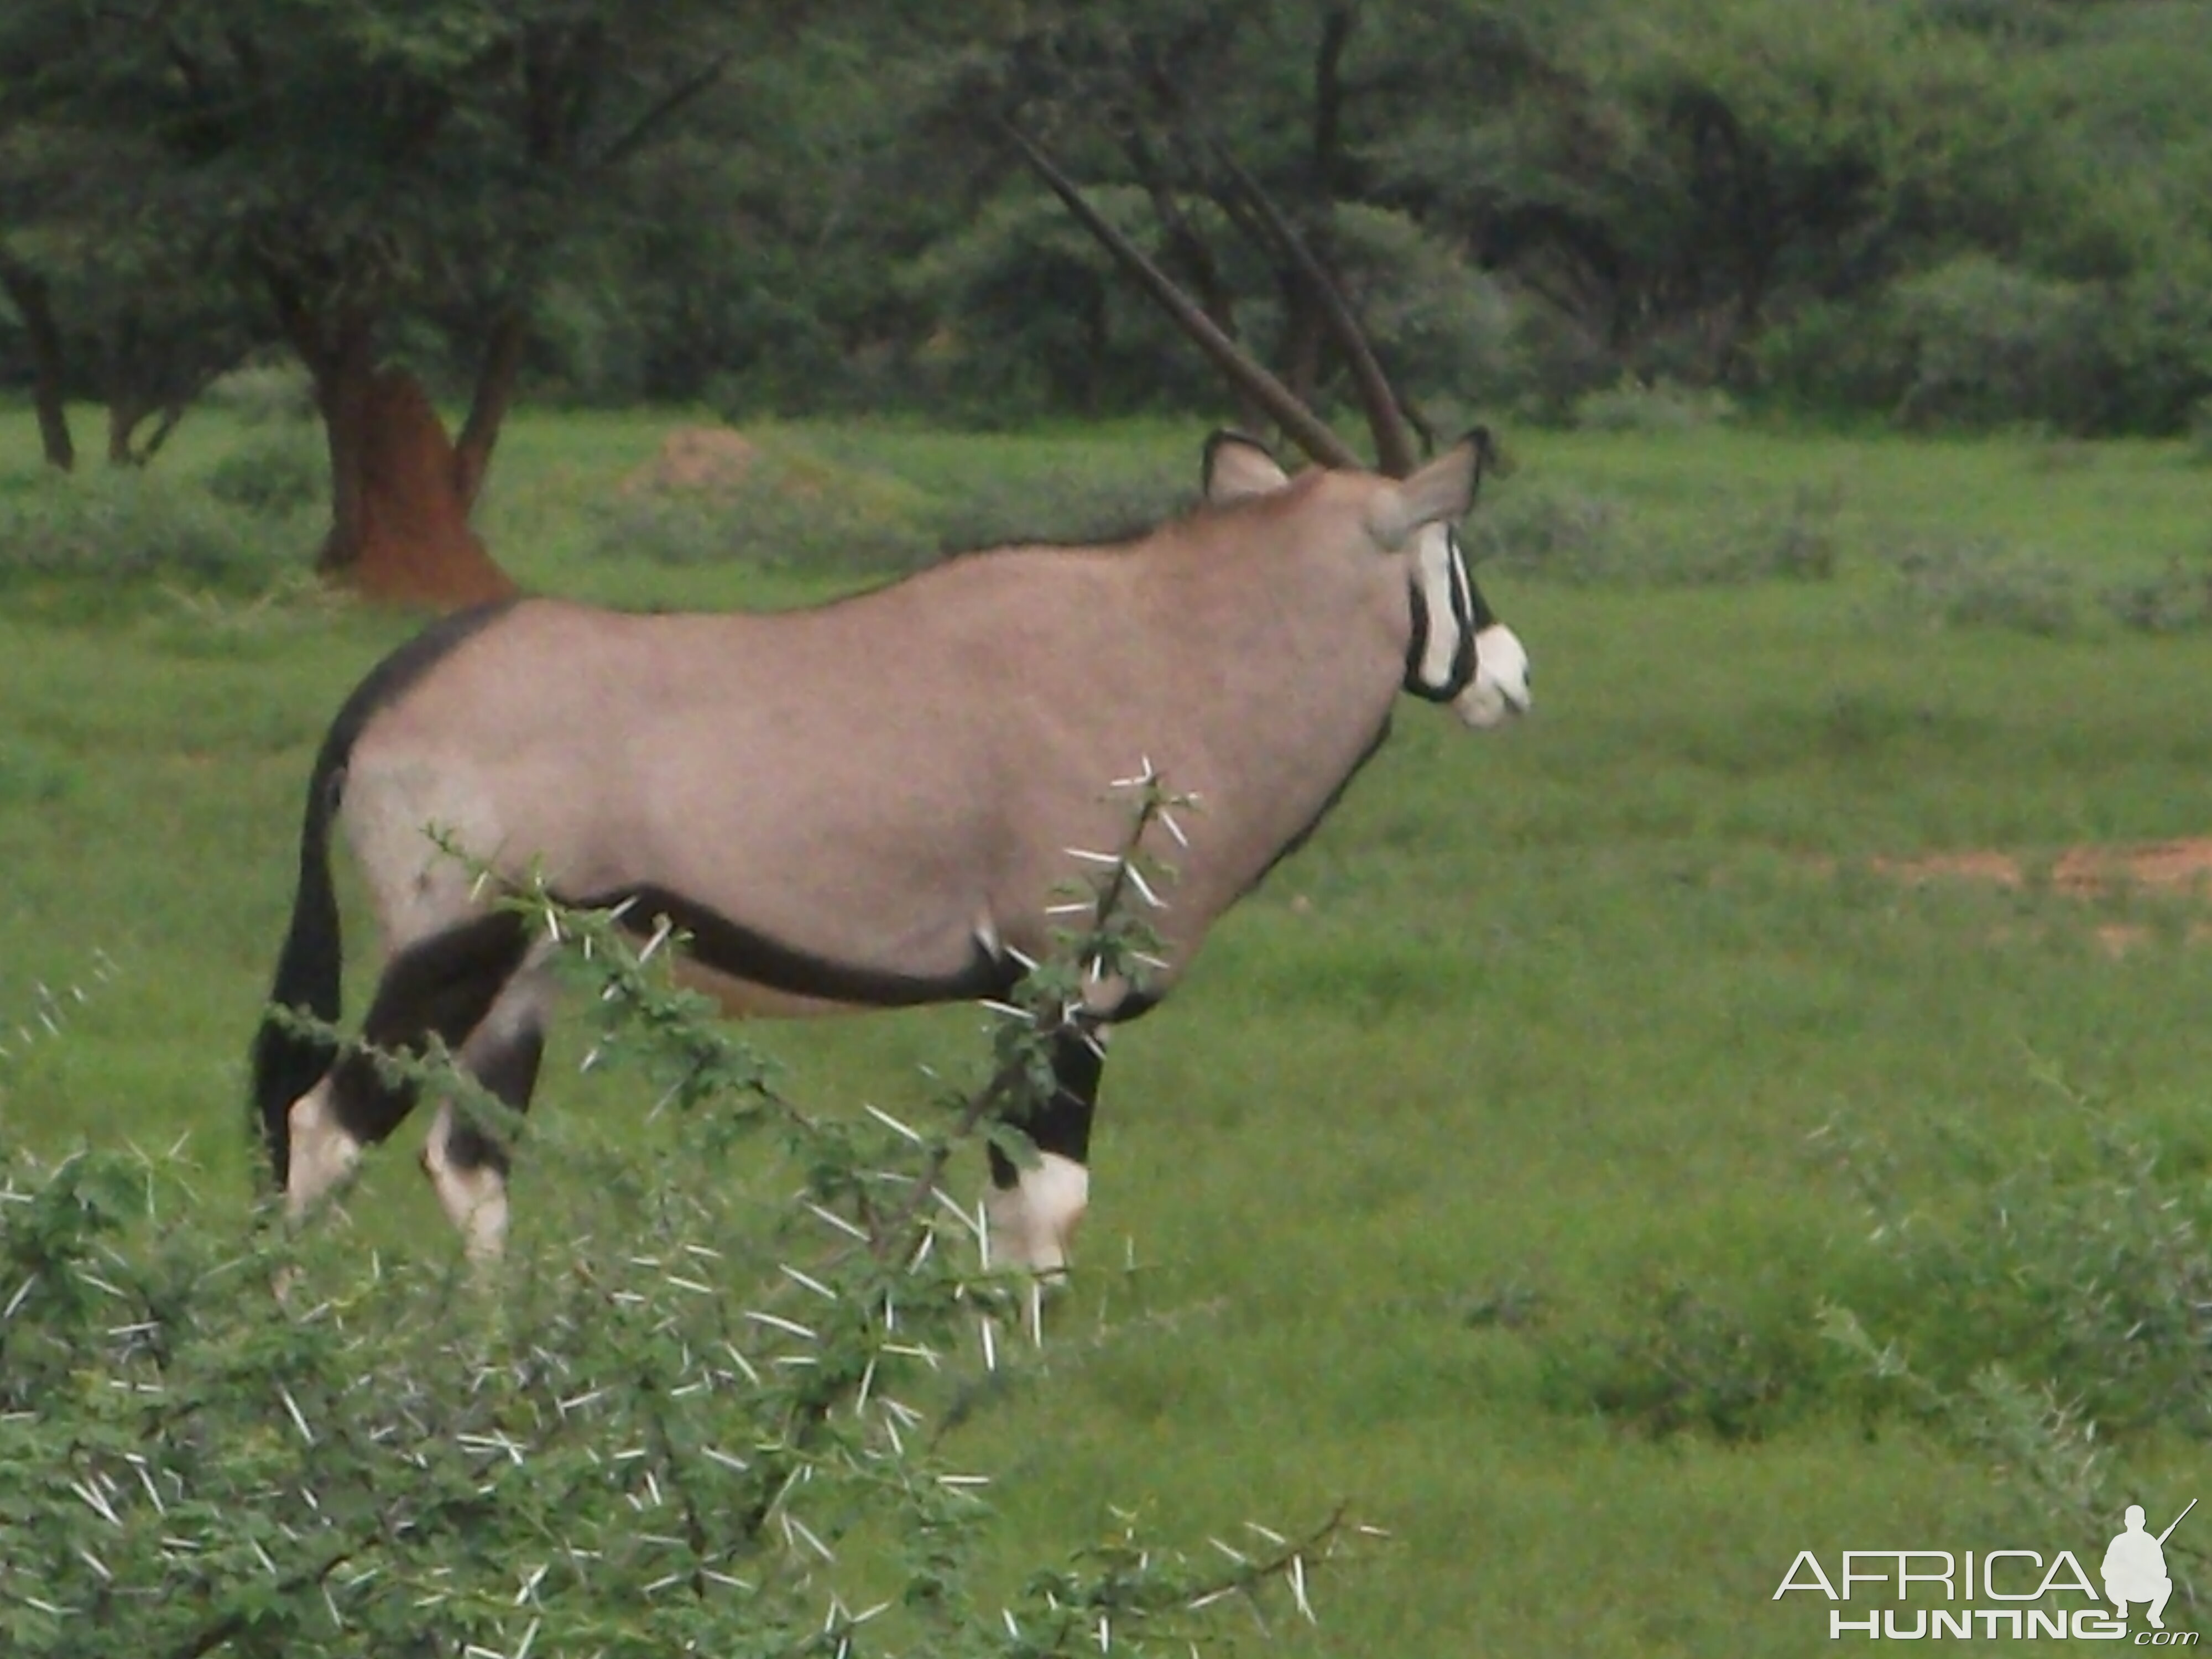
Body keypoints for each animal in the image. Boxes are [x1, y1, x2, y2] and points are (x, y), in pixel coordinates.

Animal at [251, 431, 1531, 1274]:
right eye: (1455, 557)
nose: (1511, 677)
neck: (1176, 646)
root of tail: (386, 689)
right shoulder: (1063, 990)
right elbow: (1049, 1201)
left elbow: (1015, 1196)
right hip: (453, 946)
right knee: (324, 1126)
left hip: (530, 969)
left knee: (467, 1157)